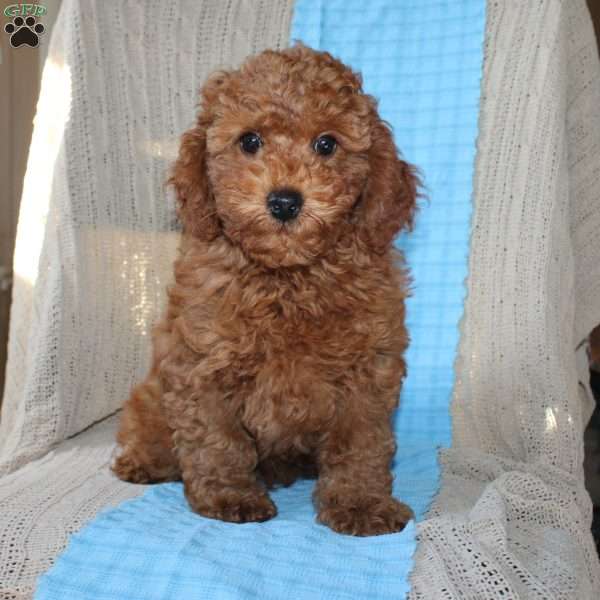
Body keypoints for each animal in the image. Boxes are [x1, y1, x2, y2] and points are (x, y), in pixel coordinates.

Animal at [115, 44, 420, 536]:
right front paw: (229, 497)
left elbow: (360, 444)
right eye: (250, 141)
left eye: (326, 144)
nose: (284, 201)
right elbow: (219, 441)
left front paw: (360, 503)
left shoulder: (368, 371)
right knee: (149, 427)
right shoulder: (202, 365)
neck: (287, 279)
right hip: (152, 397)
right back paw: (143, 462)